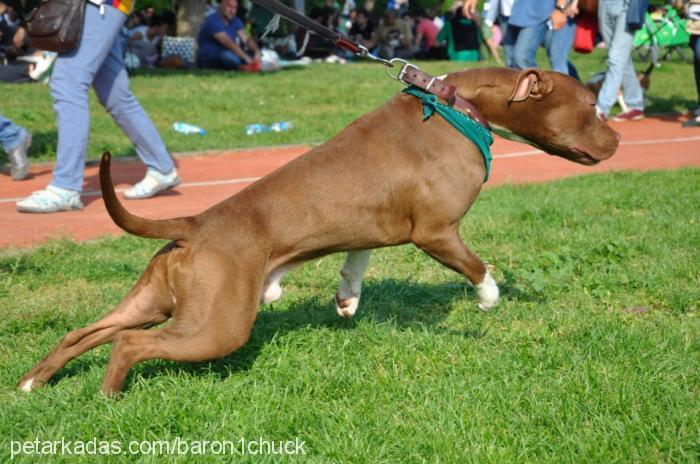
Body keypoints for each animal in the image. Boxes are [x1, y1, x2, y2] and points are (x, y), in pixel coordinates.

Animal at [16, 67, 616, 394]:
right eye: (591, 106)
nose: (616, 140)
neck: (457, 105)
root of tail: (195, 223)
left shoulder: (369, 226)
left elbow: (356, 258)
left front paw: (347, 300)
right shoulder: (437, 231)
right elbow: (474, 263)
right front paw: (489, 297)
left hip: (154, 302)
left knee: (86, 333)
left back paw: (32, 383)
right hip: (216, 328)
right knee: (129, 344)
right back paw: (109, 395)